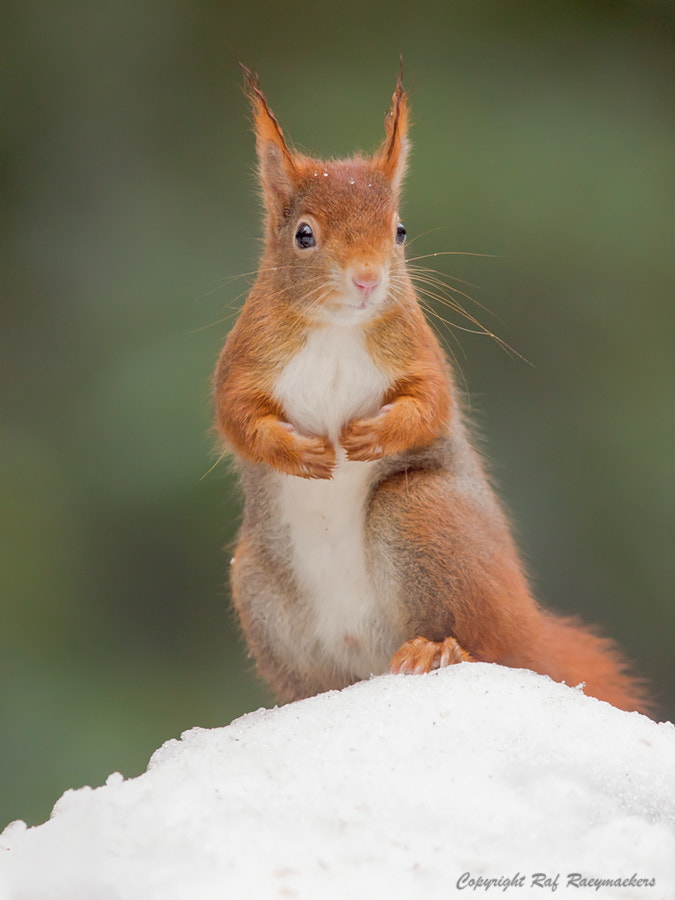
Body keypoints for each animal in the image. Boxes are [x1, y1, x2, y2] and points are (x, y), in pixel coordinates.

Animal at [214, 61, 652, 716]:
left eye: (399, 230)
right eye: (303, 235)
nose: (368, 279)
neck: (338, 330)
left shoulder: (422, 356)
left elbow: (430, 403)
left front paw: (371, 436)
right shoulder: (244, 361)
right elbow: (237, 416)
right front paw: (300, 452)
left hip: (421, 513)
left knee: (479, 641)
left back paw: (436, 648)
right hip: (258, 587)